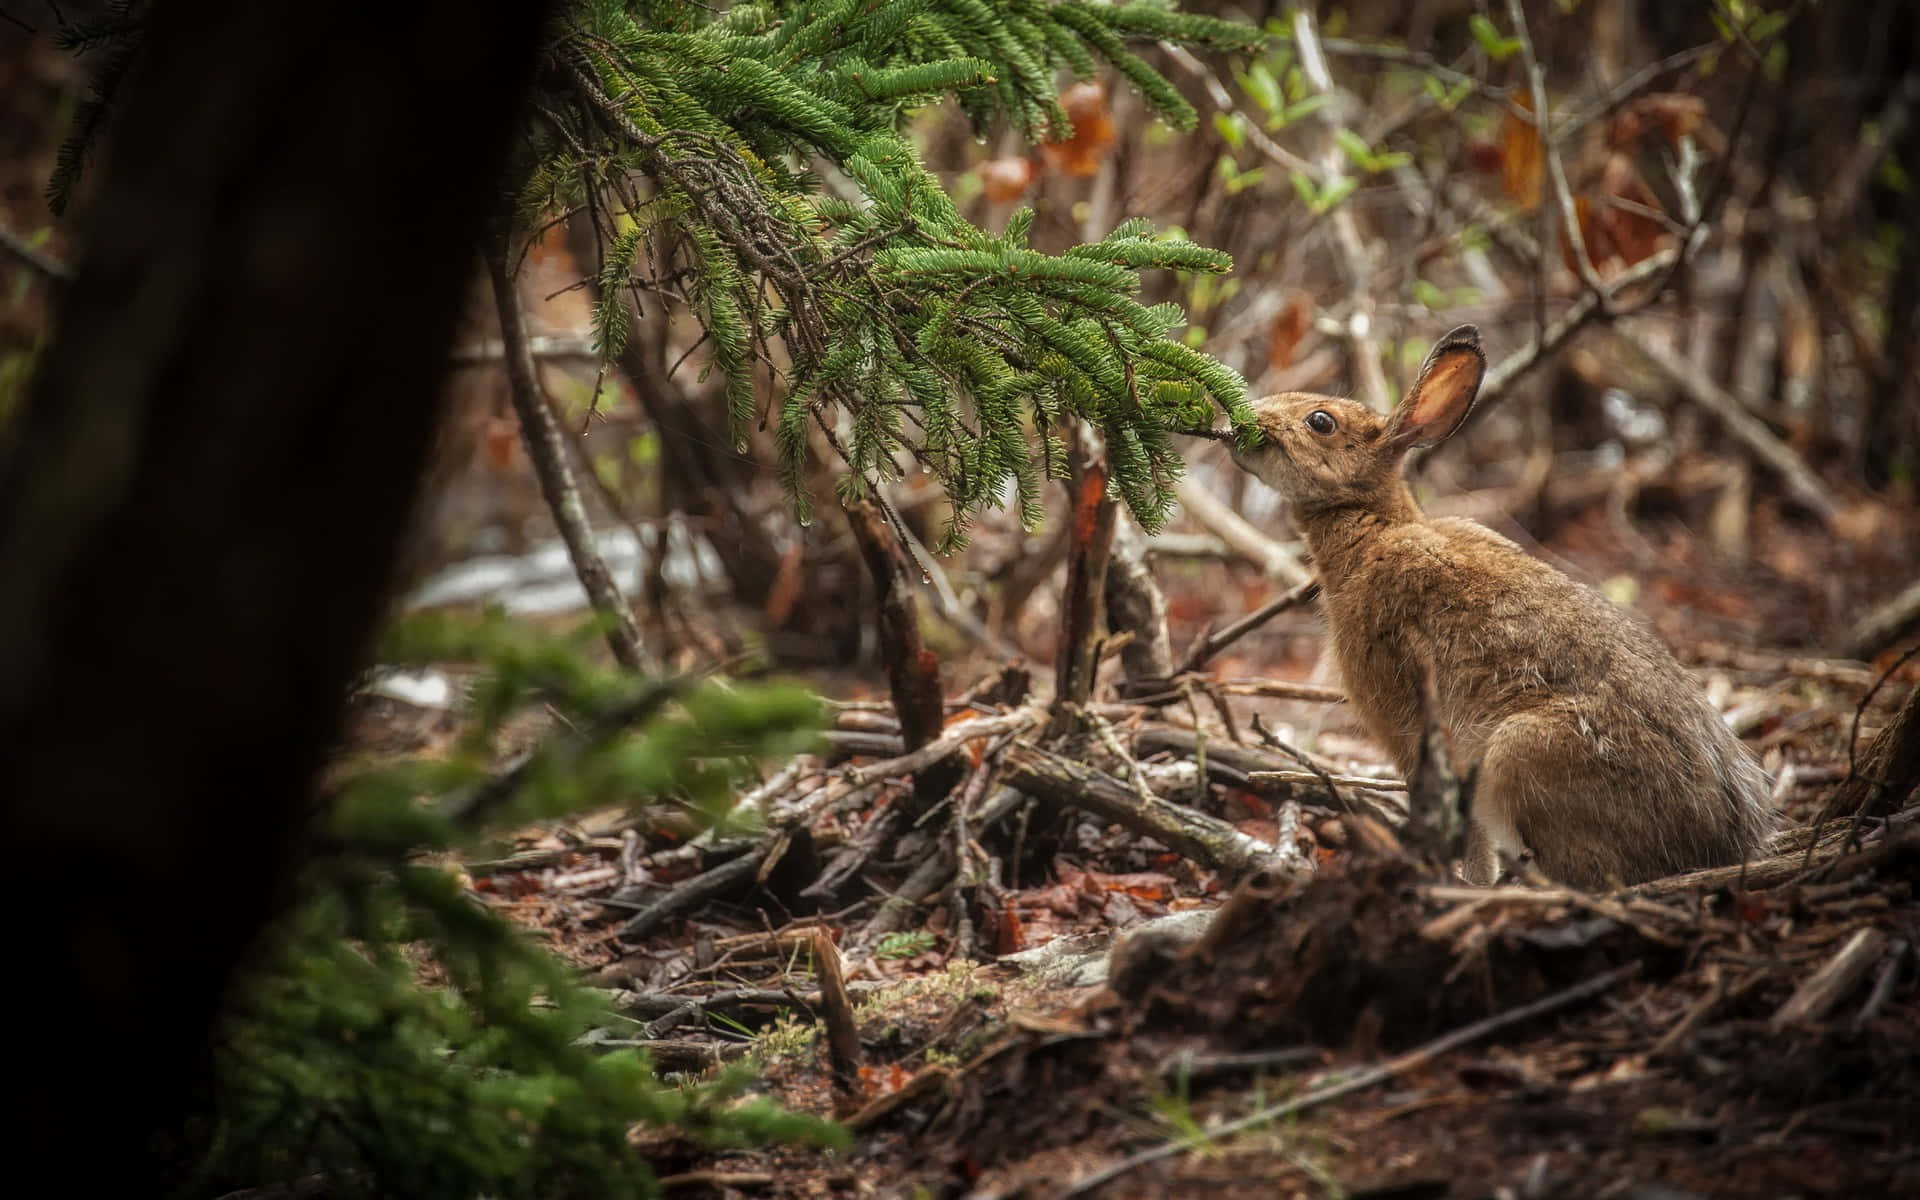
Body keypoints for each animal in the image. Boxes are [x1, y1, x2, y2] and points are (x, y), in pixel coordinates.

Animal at [1225, 325, 1775, 889]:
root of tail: (1718, 843)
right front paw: (1469, 883)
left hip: (1519, 753)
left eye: (1321, 421)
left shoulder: (1410, 727)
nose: (1246, 418)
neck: (1375, 525)